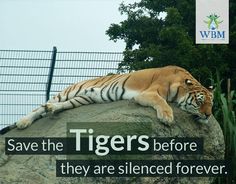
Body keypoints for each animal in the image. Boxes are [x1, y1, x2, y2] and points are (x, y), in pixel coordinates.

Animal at [0, 66, 214, 134]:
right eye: (200, 102)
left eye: (212, 104)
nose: (208, 115)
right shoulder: (148, 93)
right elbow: (162, 102)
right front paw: (167, 117)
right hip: (69, 92)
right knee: (38, 108)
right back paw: (23, 122)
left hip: (83, 99)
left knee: (57, 106)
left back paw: (54, 108)